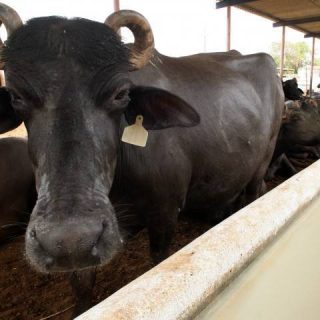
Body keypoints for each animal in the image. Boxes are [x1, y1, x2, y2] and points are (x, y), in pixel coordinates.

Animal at [0, 3, 282, 308]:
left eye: (120, 94)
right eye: (16, 96)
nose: (71, 239)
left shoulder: (165, 213)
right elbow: (82, 286)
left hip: (263, 161)